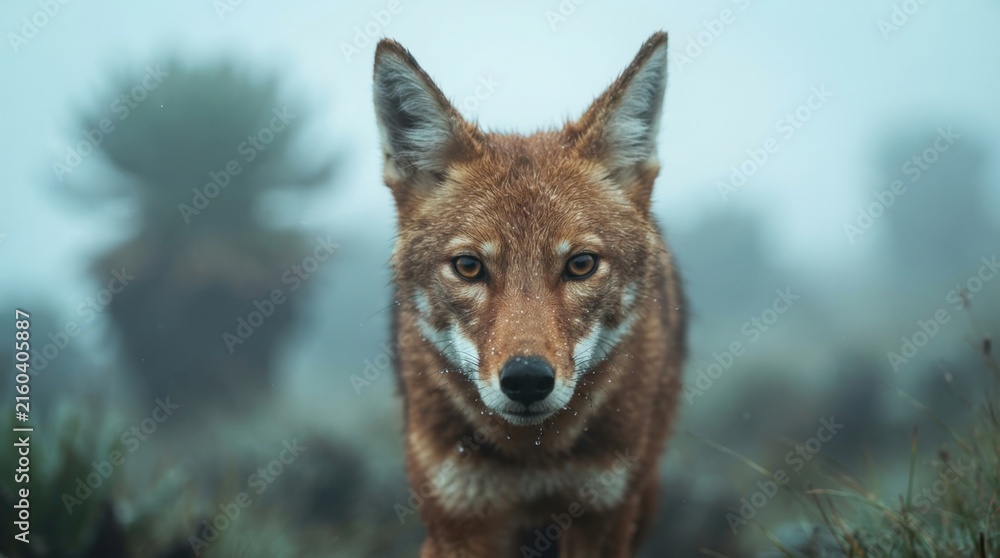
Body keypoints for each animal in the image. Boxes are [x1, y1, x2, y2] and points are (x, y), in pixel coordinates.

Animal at [372, 31, 686, 557]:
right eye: (469, 267)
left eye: (580, 264)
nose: (526, 380)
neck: (533, 456)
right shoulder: (459, 524)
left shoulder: (603, 516)